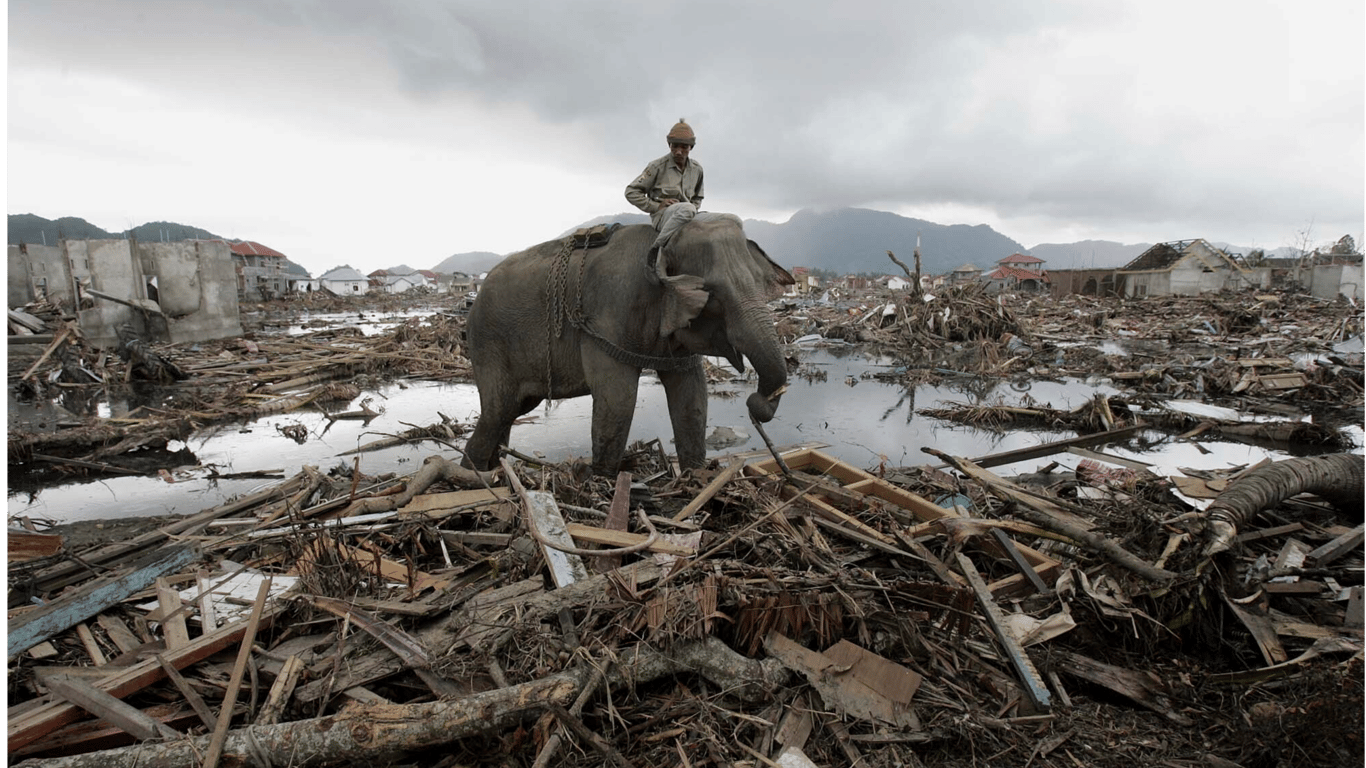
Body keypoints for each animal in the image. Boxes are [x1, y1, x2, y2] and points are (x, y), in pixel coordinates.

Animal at [464, 215, 797, 475]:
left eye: (762, 282)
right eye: (712, 294)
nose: (757, 403)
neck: (660, 245)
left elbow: (692, 394)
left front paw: (696, 478)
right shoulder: (607, 314)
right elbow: (618, 398)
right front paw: (603, 482)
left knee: (511, 411)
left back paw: (494, 470)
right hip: (489, 345)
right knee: (498, 410)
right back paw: (474, 476)